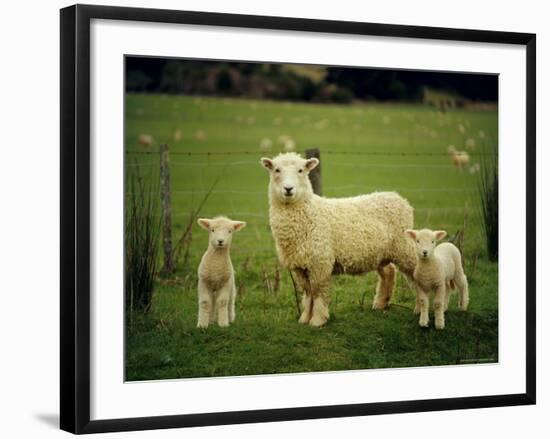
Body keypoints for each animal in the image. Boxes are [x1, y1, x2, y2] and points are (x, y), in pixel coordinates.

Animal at [260, 151, 416, 326]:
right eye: (276, 170)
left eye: (301, 170)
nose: (288, 189)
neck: (309, 213)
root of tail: (397, 197)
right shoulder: (299, 265)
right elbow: (308, 293)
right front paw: (305, 318)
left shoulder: (320, 261)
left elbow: (318, 291)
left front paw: (318, 320)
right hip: (380, 253)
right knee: (389, 272)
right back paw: (380, 304)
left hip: (404, 246)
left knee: (418, 274)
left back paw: (421, 308)